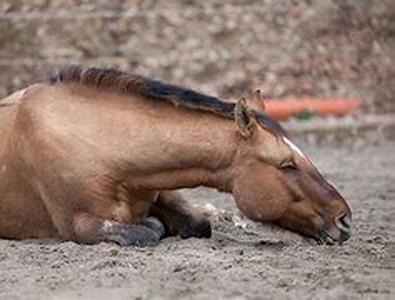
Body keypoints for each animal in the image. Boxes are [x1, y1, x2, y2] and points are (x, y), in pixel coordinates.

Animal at [0, 66, 352, 246]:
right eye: (287, 164)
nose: (343, 218)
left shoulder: (163, 191)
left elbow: (198, 223)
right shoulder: (77, 224)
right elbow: (145, 231)